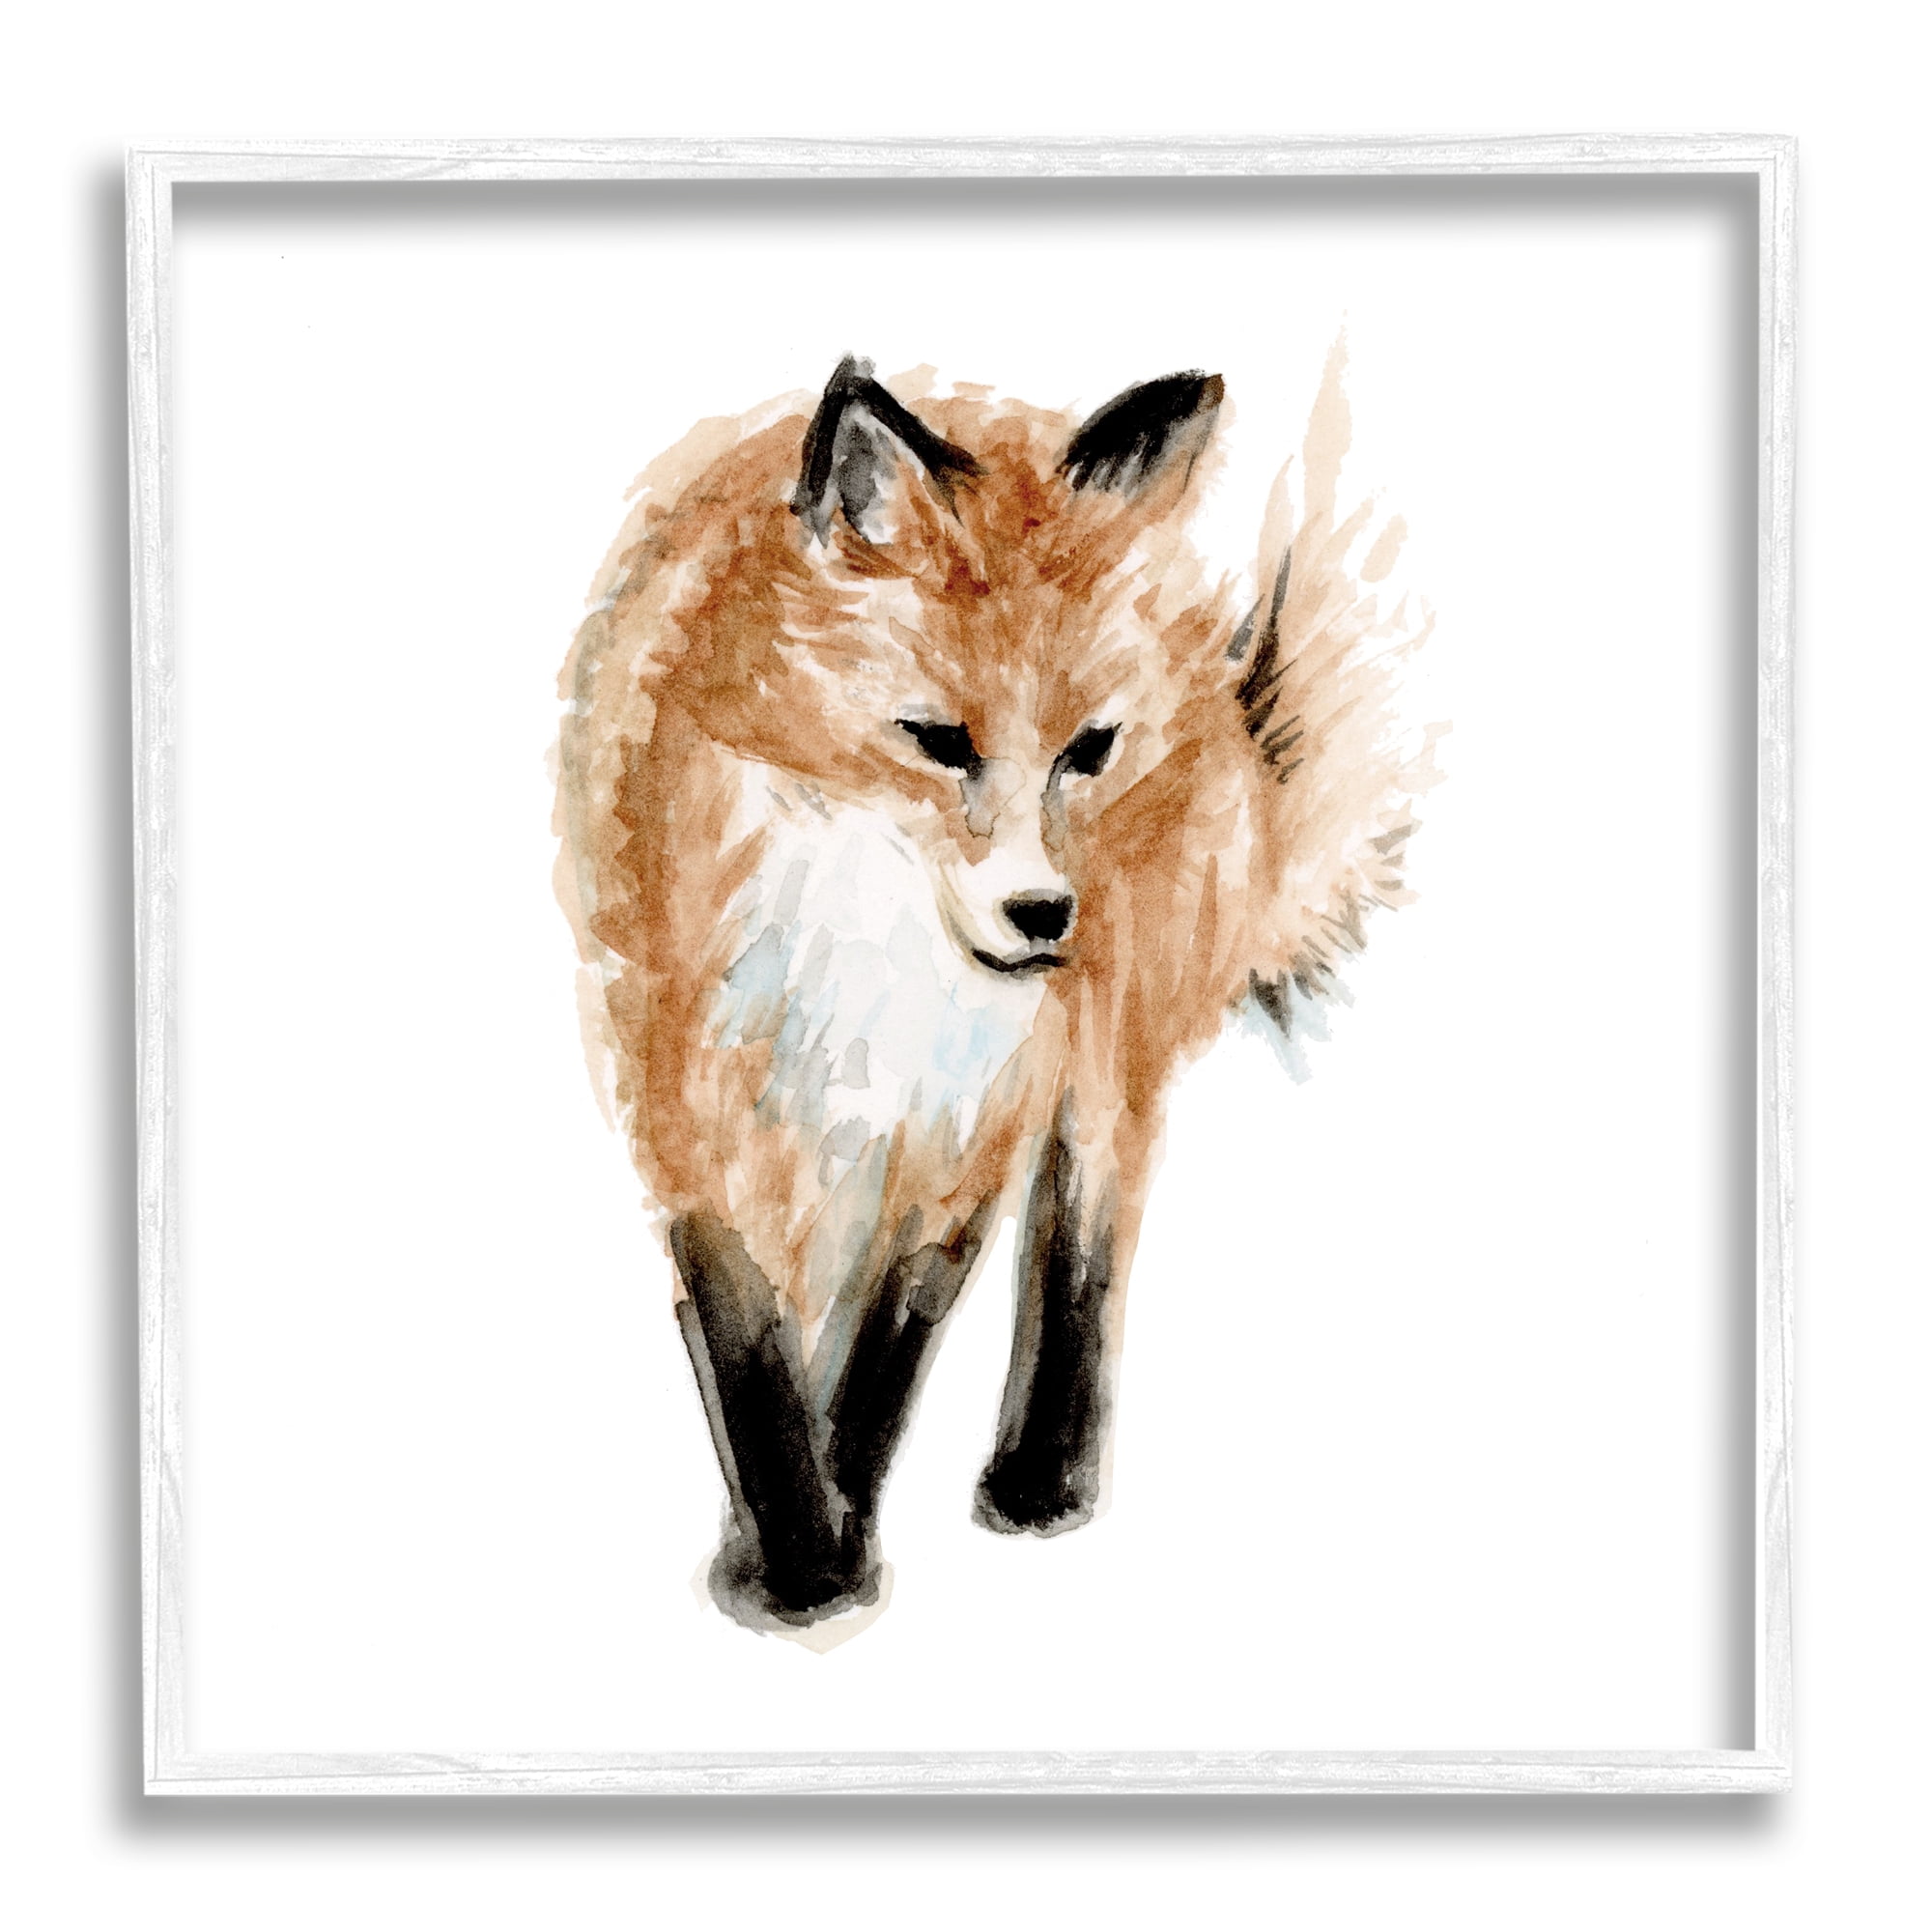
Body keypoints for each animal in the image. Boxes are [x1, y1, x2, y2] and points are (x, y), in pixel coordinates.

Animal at [554, 351, 1428, 1633]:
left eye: (1087, 748)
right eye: (937, 739)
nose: (1043, 915)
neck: (871, 952)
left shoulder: (969, 1122)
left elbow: (885, 1352)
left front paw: (832, 1544)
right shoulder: (681, 1092)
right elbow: (751, 1345)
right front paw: (793, 1551)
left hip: (1106, 1049)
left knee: (1084, 1230)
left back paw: (1042, 1470)